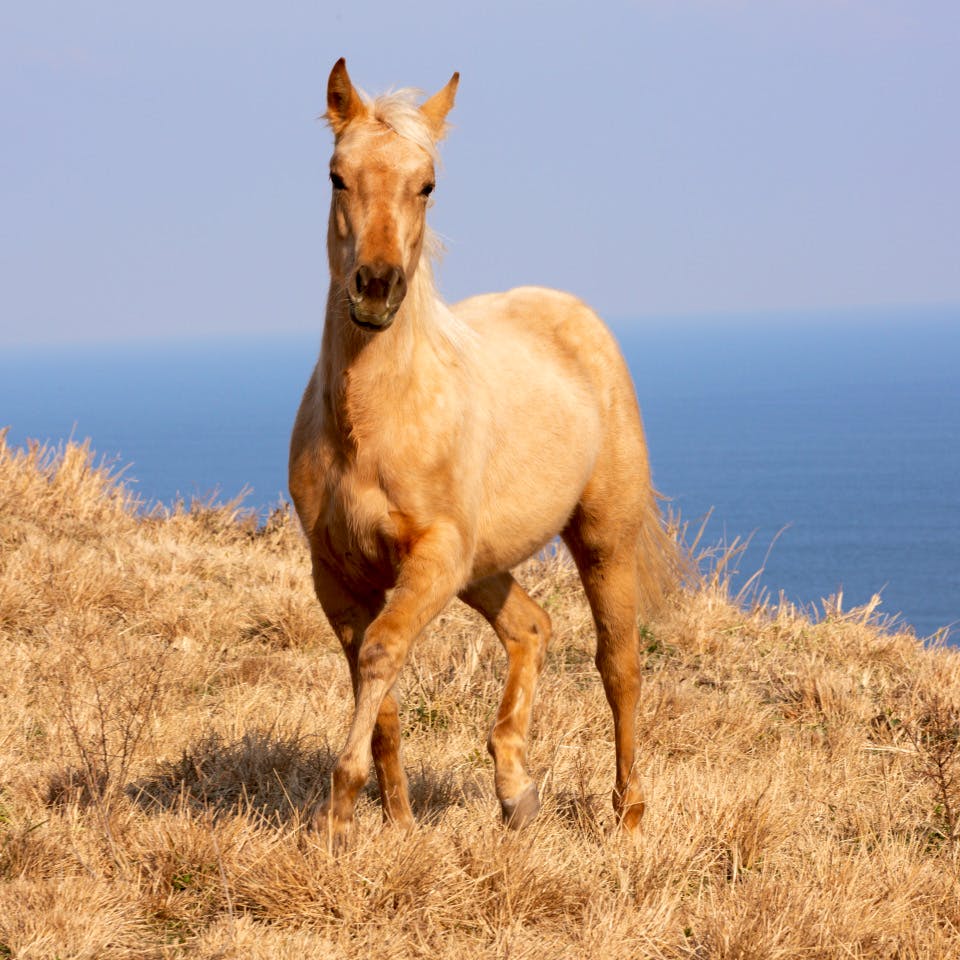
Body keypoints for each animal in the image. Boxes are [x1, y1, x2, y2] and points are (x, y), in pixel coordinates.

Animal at [289, 58, 680, 847]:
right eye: (337, 175)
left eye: (428, 183)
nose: (375, 288)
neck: (372, 424)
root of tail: (575, 315)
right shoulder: (338, 575)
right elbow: (380, 696)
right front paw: (399, 824)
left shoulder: (433, 557)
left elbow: (382, 655)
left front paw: (339, 819)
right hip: (483, 564)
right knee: (531, 627)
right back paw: (514, 791)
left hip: (601, 541)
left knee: (618, 665)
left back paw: (627, 816)